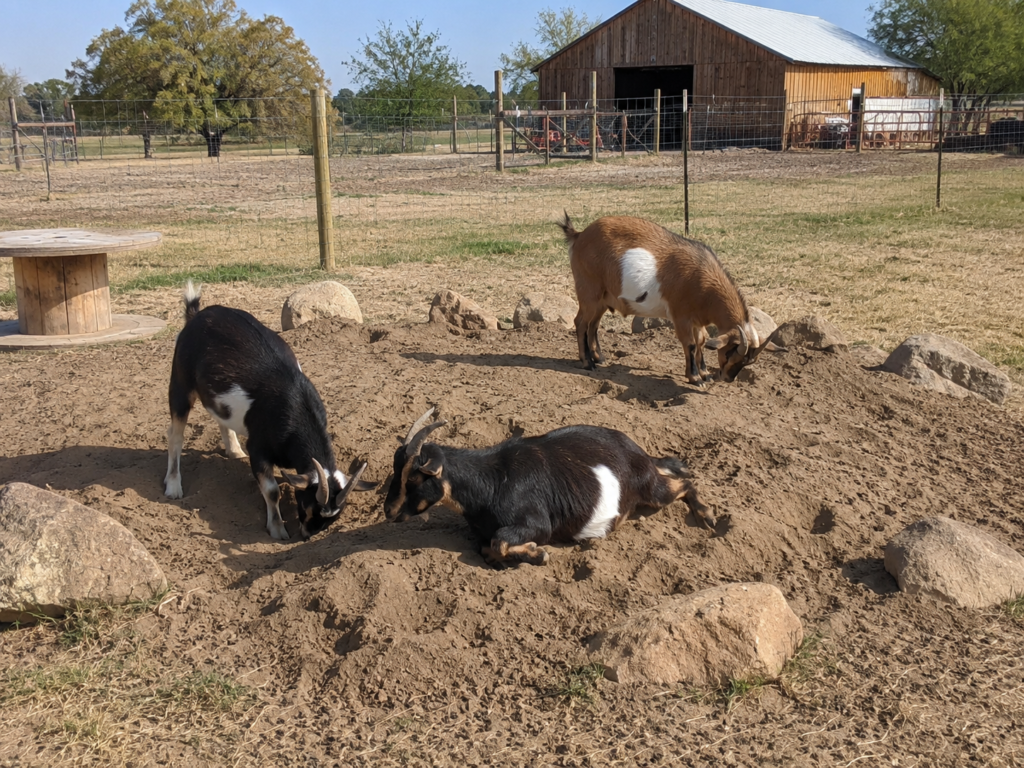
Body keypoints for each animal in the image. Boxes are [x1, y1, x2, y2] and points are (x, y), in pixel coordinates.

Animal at [163, 282, 372, 540]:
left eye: (334, 518)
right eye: (307, 506)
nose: (307, 535)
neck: (296, 407)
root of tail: (196, 315)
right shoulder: (259, 447)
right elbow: (272, 490)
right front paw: (278, 530)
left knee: (220, 417)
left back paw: (234, 451)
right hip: (180, 382)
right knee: (175, 434)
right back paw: (173, 486)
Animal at [383, 408, 715, 566]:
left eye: (413, 478)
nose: (388, 511)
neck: (491, 484)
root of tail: (639, 452)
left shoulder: (537, 523)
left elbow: (499, 542)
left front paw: (537, 553)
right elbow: (487, 547)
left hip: (650, 489)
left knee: (684, 483)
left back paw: (708, 516)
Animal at [559, 213, 783, 384]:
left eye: (748, 362)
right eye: (729, 353)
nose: (728, 379)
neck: (703, 280)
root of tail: (579, 235)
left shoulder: (697, 320)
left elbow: (701, 341)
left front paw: (704, 374)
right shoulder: (680, 316)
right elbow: (690, 344)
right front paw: (696, 378)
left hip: (603, 299)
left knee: (593, 325)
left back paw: (600, 358)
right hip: (588, 291)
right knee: (581, 322)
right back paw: (587, 363)